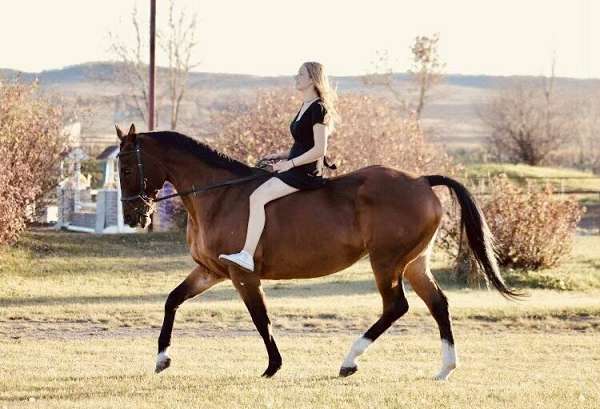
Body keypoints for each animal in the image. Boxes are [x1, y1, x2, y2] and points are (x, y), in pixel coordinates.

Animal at [115, 123, 516, 380]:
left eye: (126, 167)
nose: (134, 216)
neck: (219, 195)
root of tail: (420, 180)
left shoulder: (242, 275)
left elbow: (261, 318)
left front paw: (273, 367)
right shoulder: (210, 270)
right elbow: (172, 300)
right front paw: (162, 359)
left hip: (386, 261)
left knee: (396, 307)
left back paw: (349, 361)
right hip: (415, 262)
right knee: (438, 304)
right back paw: (445, 368)